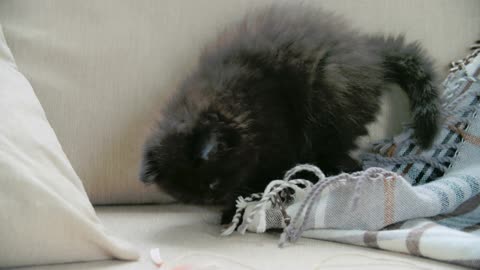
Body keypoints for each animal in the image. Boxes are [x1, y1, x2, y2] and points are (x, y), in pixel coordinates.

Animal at [138, 5, 438, 224]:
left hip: (329, 106)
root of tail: (370, 53)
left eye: (212, 183)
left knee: (344, 157)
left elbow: (266, 180)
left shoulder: (279, 141)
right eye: (188, 194)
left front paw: (237, 209)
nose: (210, 200)